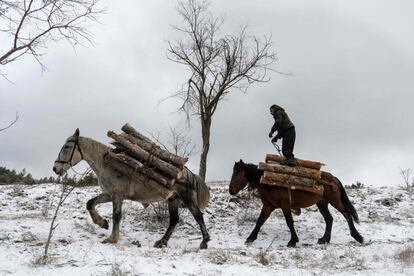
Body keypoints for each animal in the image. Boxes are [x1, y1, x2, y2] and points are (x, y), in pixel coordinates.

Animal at [54, 128, 210, 249]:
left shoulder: (117, 196)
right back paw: (162, 242)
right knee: (174, 220)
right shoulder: (109, 195)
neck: (107, 164)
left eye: (67, 147)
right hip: (173, 200)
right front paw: (102, 223)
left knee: (198, 216)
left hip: (187, 199)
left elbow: (116, 216)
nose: (55, 168)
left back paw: (204, 242)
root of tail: (188, 174)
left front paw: (112, 238)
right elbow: (90, 203)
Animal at [228, 160, 364, 248]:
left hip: (334, 200)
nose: (231, 190)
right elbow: (259, 221)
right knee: (329, 219)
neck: (269, 183)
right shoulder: (268, 206)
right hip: (322, 203)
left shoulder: (285, 205)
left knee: (347, 214)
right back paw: (324, 239)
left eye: (237, 173)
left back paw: (357, 236)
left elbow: (289, 222)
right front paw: (250, 238)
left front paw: (293, 241)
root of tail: (334, 178)